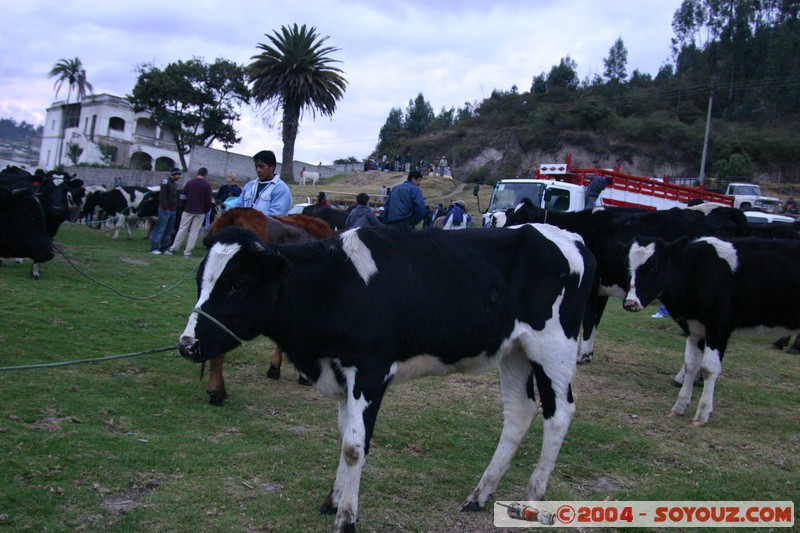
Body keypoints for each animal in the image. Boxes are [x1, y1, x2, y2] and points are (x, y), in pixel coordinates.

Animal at [503, 198, 749, 363]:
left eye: (519, 218)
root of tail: (727, 211)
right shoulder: (601, 289)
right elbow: (595, 320)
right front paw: (587, 352)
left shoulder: (591, 286)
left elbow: (587, 320)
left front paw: (582, 355)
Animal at [623, 236, 800, 426]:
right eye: (629, 266)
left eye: (654, 267)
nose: (630, 303)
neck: (697, 271)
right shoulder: (695, 330)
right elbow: (690, 365)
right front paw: (679, 406)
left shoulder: (719, 327)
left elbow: (709, 367)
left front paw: (702, 413)